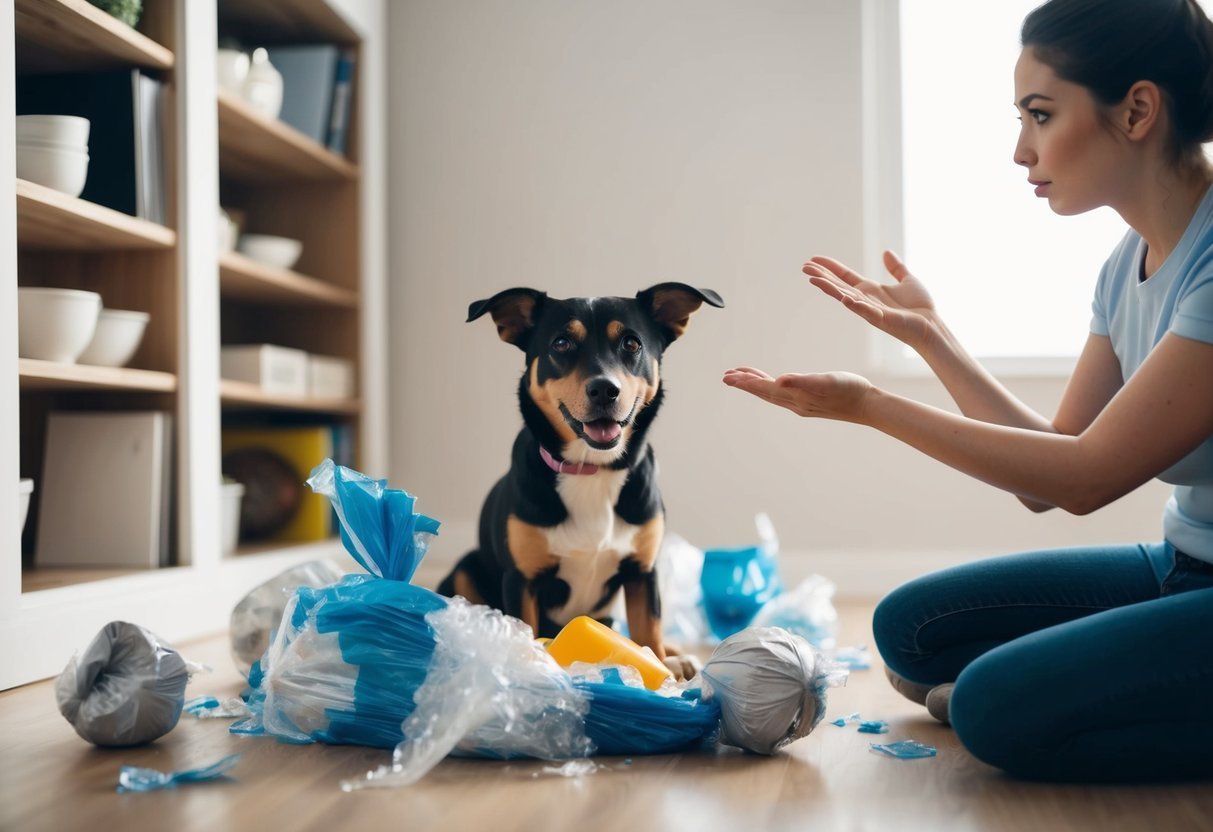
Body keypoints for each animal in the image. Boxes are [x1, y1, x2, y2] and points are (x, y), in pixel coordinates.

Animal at [436, 285, 718, 679]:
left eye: (632, 343)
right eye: (561, 343)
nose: (604, 390)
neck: (593, 470)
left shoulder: (642, 574)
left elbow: (649, 631)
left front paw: (662, 669)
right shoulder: (521, 579)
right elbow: (524, 631)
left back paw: (680, 657)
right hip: (466, 570)